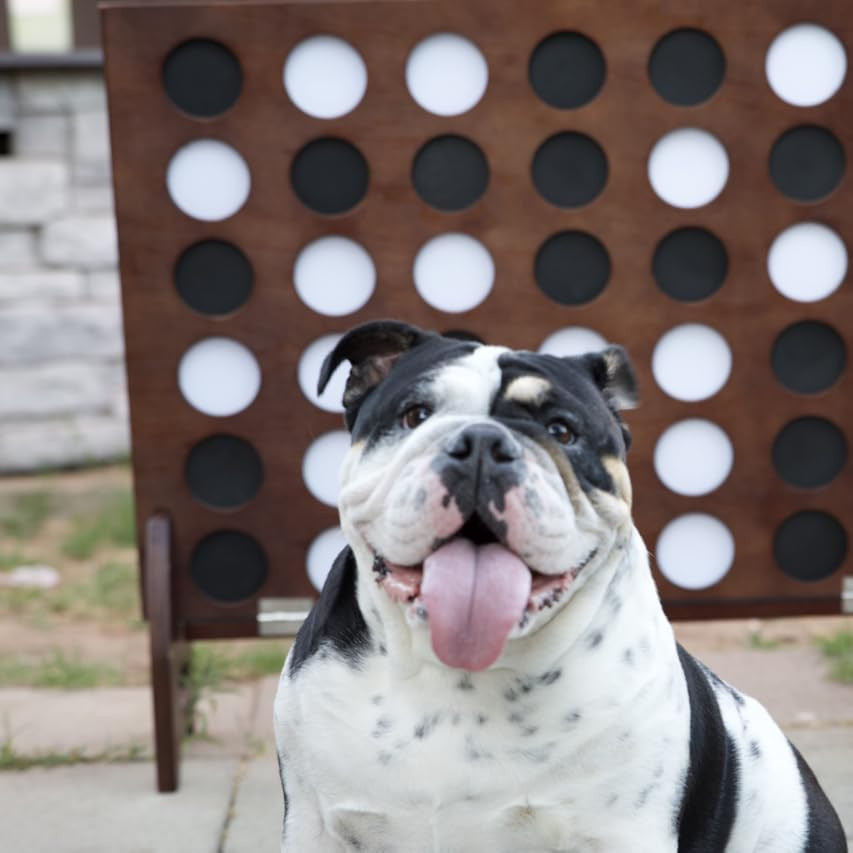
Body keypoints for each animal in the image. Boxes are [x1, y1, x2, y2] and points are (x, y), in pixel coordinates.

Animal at [274, 320, 846, 852]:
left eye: (562, 430)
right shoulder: (312, 824)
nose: (482, 442)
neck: (459, 673)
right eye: (415, 415)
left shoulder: (623, 833)